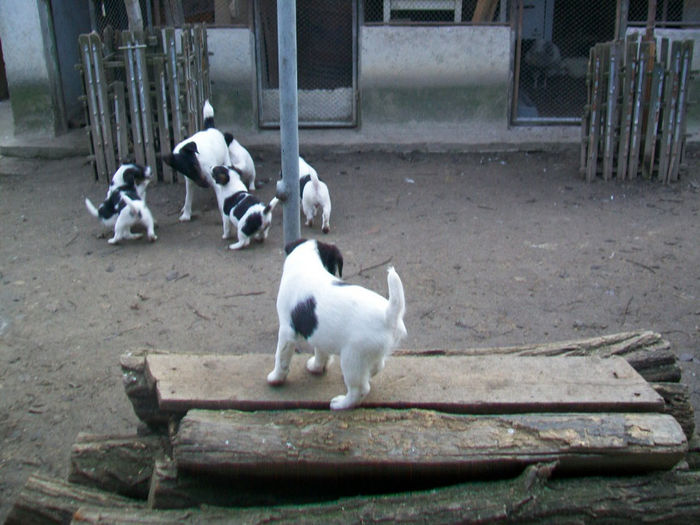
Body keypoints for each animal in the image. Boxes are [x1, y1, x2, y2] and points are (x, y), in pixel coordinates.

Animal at [270, 238, 410, 410]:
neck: (307, 263)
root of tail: (388, 315)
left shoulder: (286, 331)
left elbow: (281, 358)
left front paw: (276, 378)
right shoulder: (319, 333)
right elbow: (321, 352)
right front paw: (317, 367)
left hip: (352, 358)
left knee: (360, 390)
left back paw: (341, 404)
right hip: (369, 355)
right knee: (376, 367)